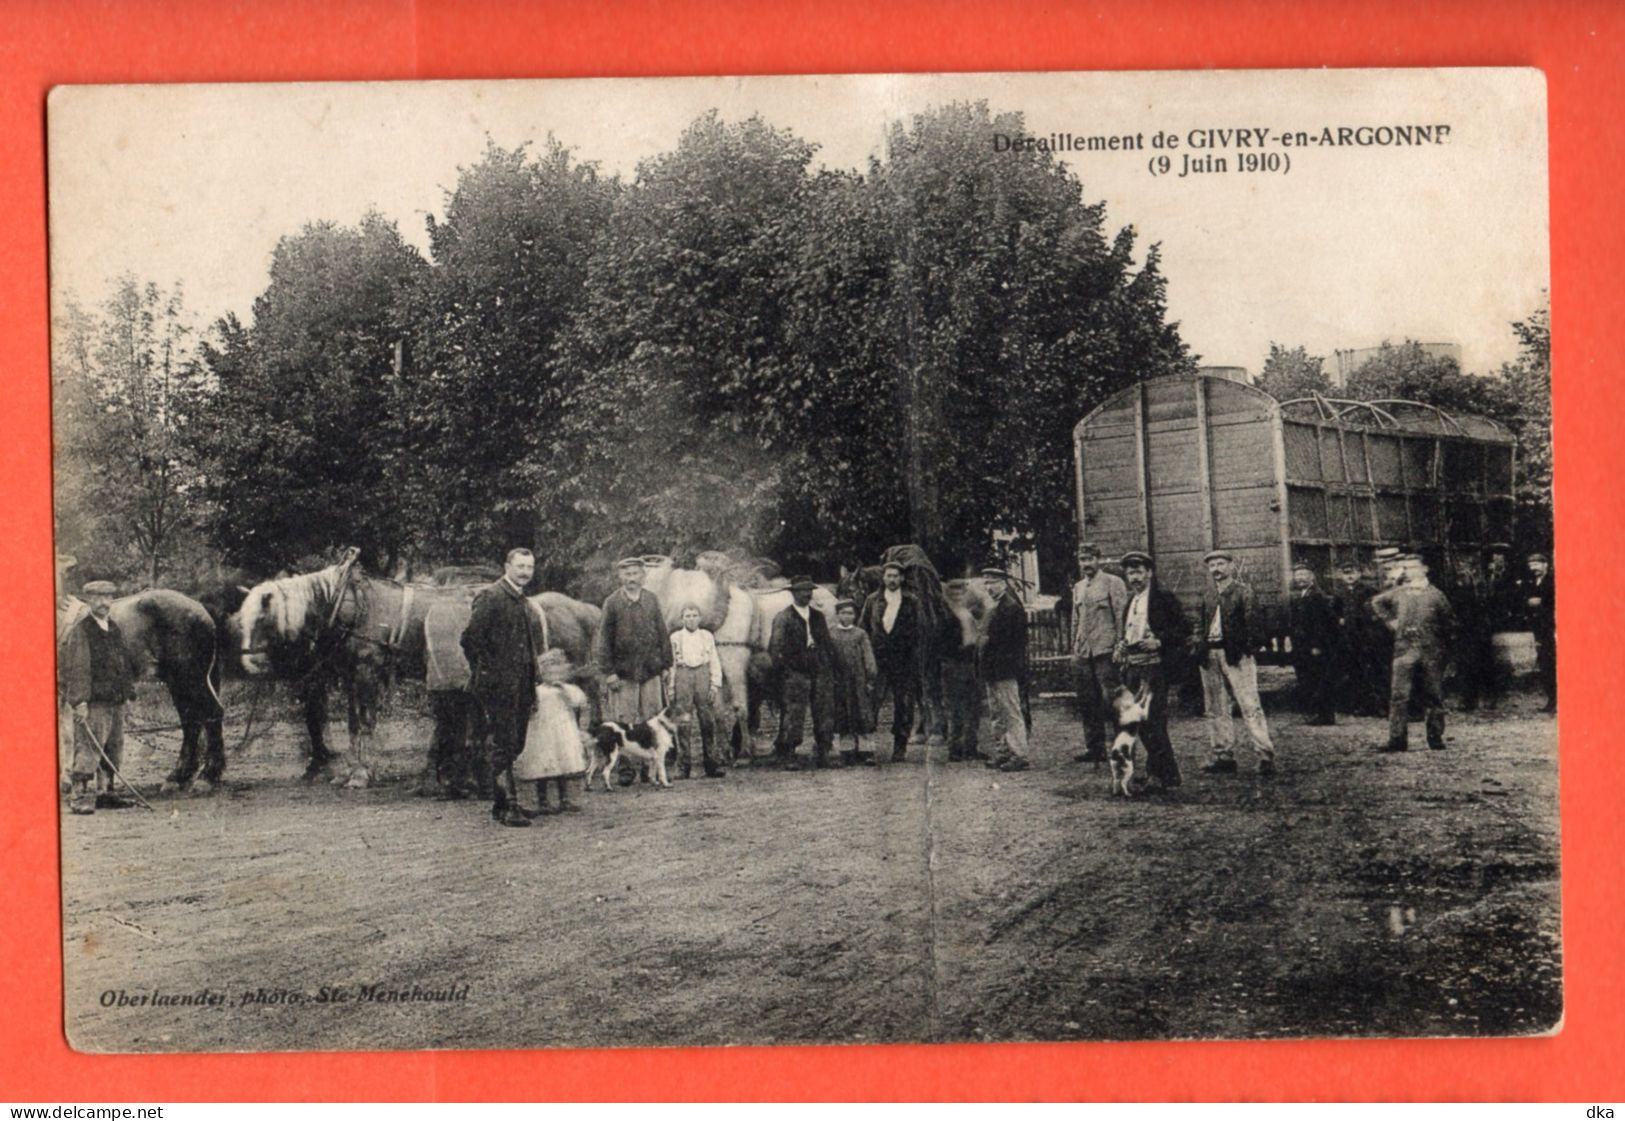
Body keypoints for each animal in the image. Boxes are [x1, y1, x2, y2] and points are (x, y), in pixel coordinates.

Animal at [56, 588, 225, 789]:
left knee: (211, 714)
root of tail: (201, 608)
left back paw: (206, 776)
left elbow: (67, 737)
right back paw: (178, 777)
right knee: (191, 721)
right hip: (179, 683)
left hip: (190, 679)